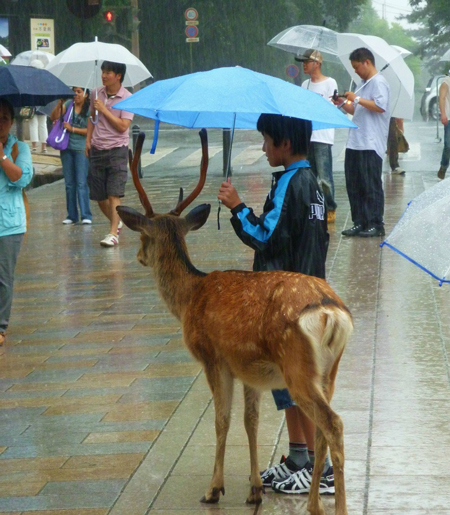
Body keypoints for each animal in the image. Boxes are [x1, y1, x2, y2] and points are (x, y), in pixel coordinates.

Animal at [117, 130, 356, 515]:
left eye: (142, 236)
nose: (139, 256)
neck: (190, 297)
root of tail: (331, 313)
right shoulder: (249, 367)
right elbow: (251, 421)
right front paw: (255, 489)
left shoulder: (213, 357)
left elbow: (222, 420)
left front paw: (214, 489)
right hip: (329, 370)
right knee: (321, 428)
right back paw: (313, 501)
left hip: (297, 366)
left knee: (332, 423)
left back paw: (331, 506)